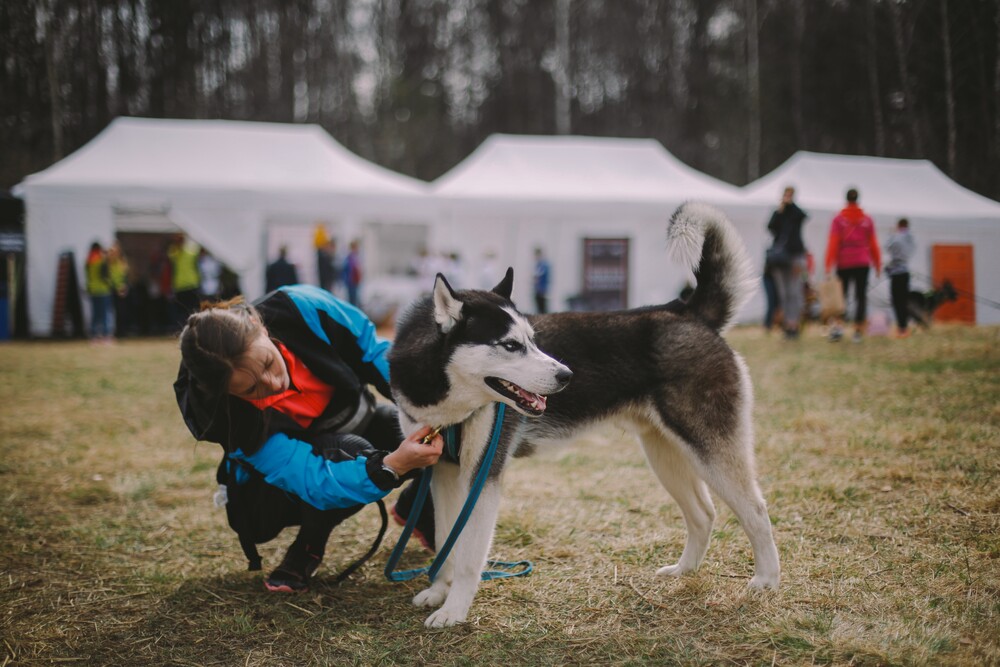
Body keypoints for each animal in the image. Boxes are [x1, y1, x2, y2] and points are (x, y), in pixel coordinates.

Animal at [388, 202, 780, 628]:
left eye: (533, 340)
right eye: (510, 345)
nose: (566, 376)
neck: (449, 401)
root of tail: (686, 311)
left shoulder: (483, 476)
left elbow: (467, 556)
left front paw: (454, 609)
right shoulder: (443, 473)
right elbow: (447, 541)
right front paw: (438, 591)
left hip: (709, 452)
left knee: (757, 511)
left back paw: (766, 581)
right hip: (666, 455)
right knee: (704, 514)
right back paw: (683, 571)